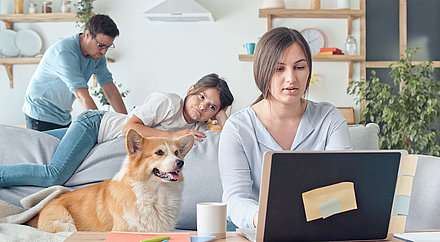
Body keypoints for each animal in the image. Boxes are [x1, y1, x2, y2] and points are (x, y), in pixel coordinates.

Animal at [27, 129, 192, 233]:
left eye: (177, 152)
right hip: (64, 220)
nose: (180, 163)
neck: (157, 193)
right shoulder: (124, 229)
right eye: (159, 152)